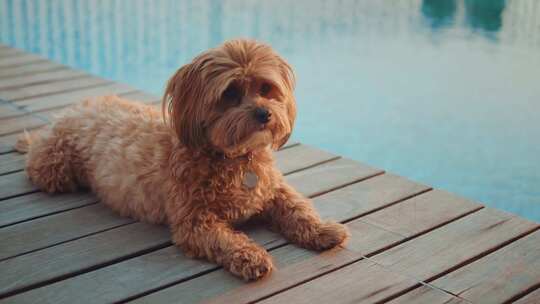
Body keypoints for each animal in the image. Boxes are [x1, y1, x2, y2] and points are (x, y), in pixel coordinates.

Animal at [17, 39, 350, 282]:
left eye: (266, 88)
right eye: (230, 93)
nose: (264, 113)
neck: (233, 158)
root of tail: (69, 112)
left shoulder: (272, 189)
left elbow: (297, 207)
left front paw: (322, 230)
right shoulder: (194, 220)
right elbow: (224, 238)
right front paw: (251, 256)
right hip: (55, 169)